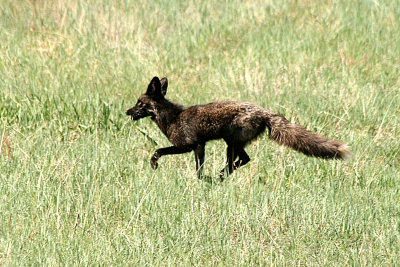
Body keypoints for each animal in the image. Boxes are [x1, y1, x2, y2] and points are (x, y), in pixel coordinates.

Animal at [126, 76, 350, 181]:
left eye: (139, 103)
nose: (127, 112)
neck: (172, 118)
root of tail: (264, 111)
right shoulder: (190, 147)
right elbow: (159, 151)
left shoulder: (194, 145)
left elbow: (196, 168)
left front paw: (202, 180)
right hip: (233, 143)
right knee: (244, 160)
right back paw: (222, 174)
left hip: (230, 143)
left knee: (242, 160)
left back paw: (221, 175)